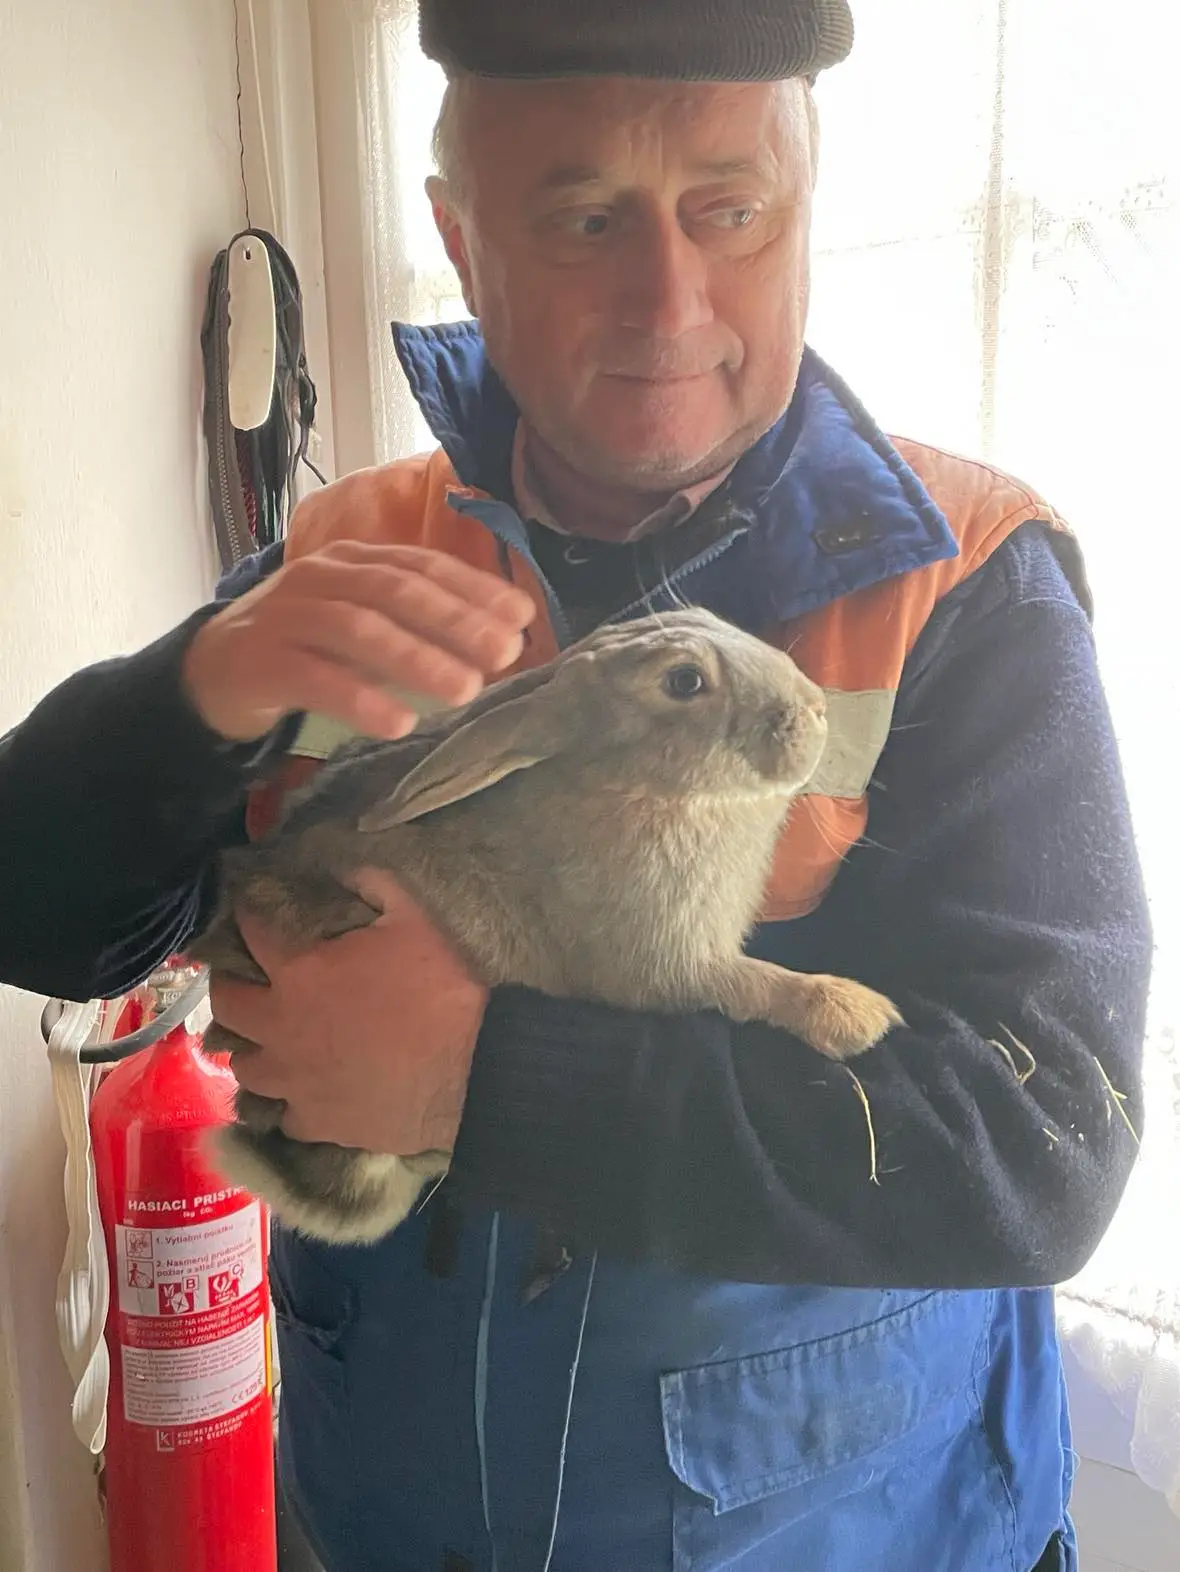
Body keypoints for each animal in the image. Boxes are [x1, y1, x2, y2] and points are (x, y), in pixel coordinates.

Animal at [188, 606, 903, 1244]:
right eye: (684, 682)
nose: (816, 708)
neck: (636, 788)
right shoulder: (665, 963)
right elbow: (749, 984)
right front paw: (856, 1014)